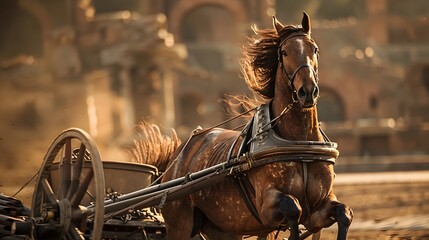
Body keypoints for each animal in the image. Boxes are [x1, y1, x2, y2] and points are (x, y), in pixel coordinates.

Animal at [133, 12, 352, 239]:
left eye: (314, 49)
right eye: (284, 52)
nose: (307, 91)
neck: (299, 144)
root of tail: (176, 160)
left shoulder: (319, 207)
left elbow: (344, 213)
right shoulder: (266, 206)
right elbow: (293, 207)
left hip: (223, 228)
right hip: (180, 223)